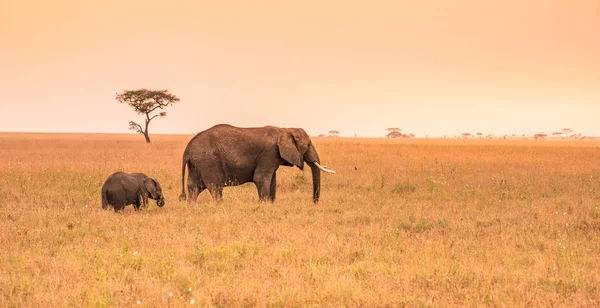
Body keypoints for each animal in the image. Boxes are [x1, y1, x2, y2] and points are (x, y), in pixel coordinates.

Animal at [178, 124, 338, 203]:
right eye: (309, 145)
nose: (314, 203)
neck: (284, 130)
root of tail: (187, 149)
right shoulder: (269, 153)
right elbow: (261, 179)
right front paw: (264, 205)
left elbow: (272, 181)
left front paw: (271, 205)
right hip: (208, 161)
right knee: (215, 187)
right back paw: (220, 206)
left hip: (197, 163)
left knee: (194, 188)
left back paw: (191, 207)